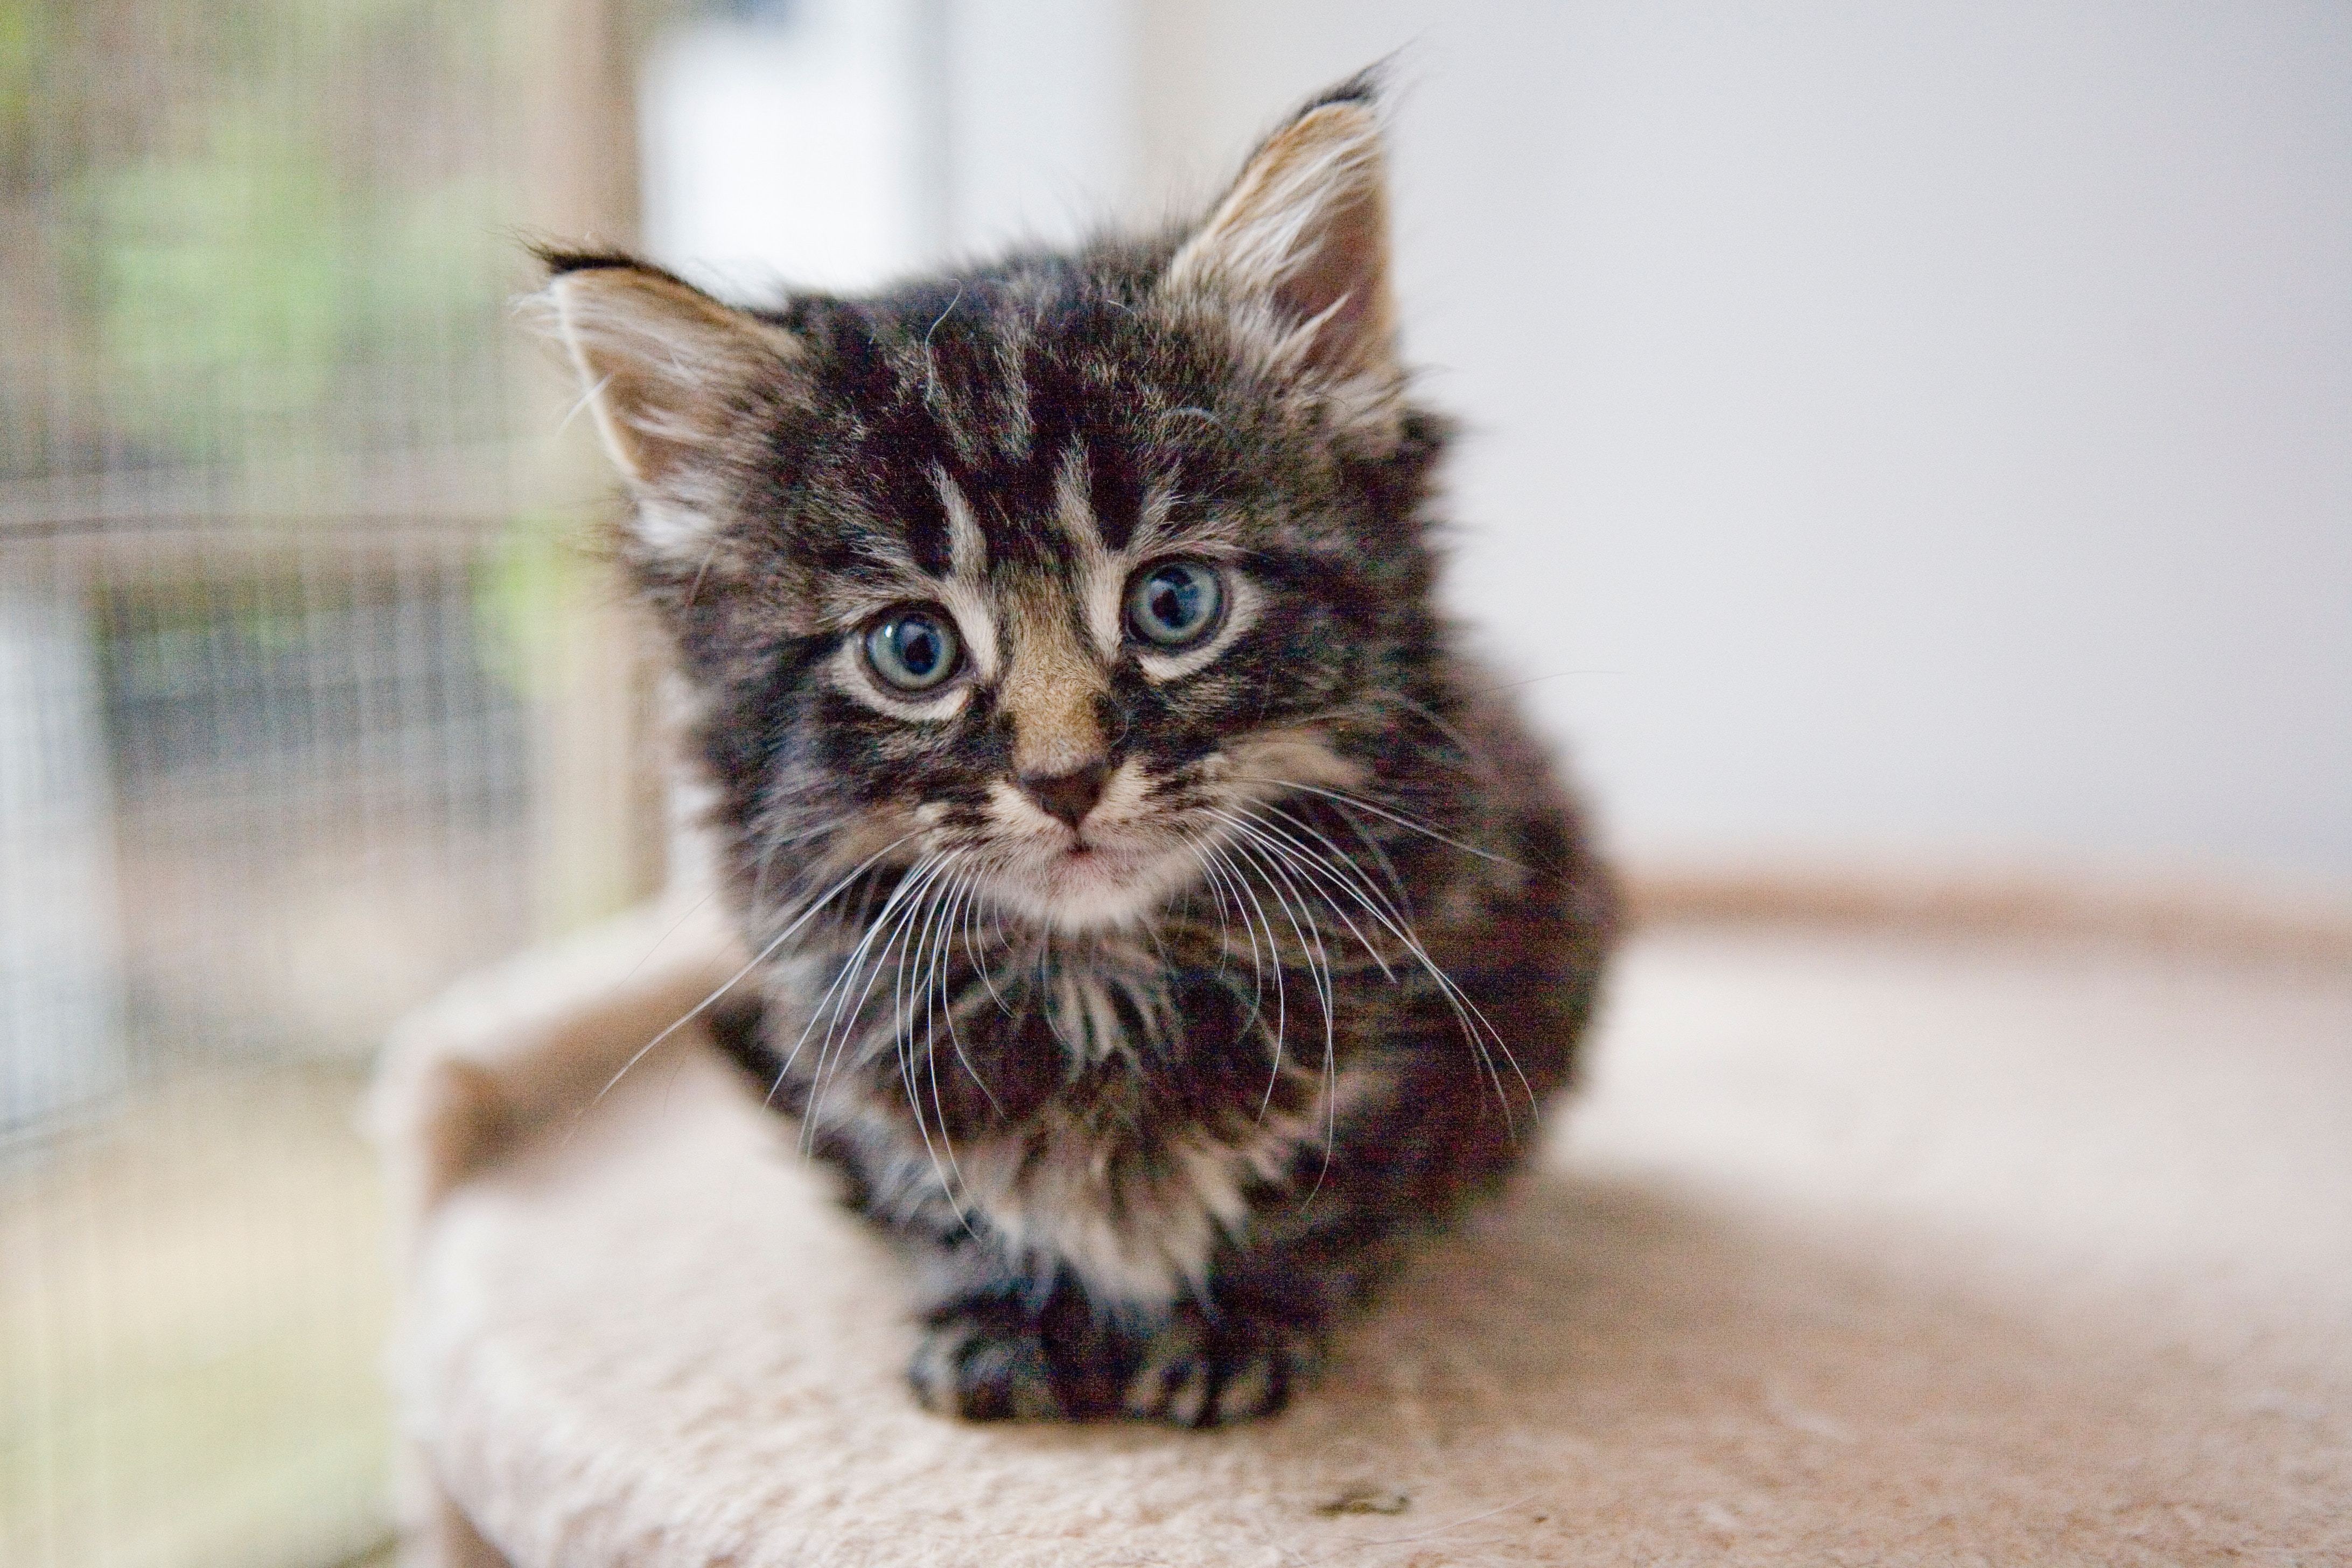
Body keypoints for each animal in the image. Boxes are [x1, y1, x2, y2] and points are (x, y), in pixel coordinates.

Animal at [545, 73, 1618, 1429]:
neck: (1102, 982)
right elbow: (939, 1187)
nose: (1064, 781)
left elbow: (1336, 1178)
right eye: (913, 649)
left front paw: (1239, 1315)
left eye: (1174, 604)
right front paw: (1009, 1313)